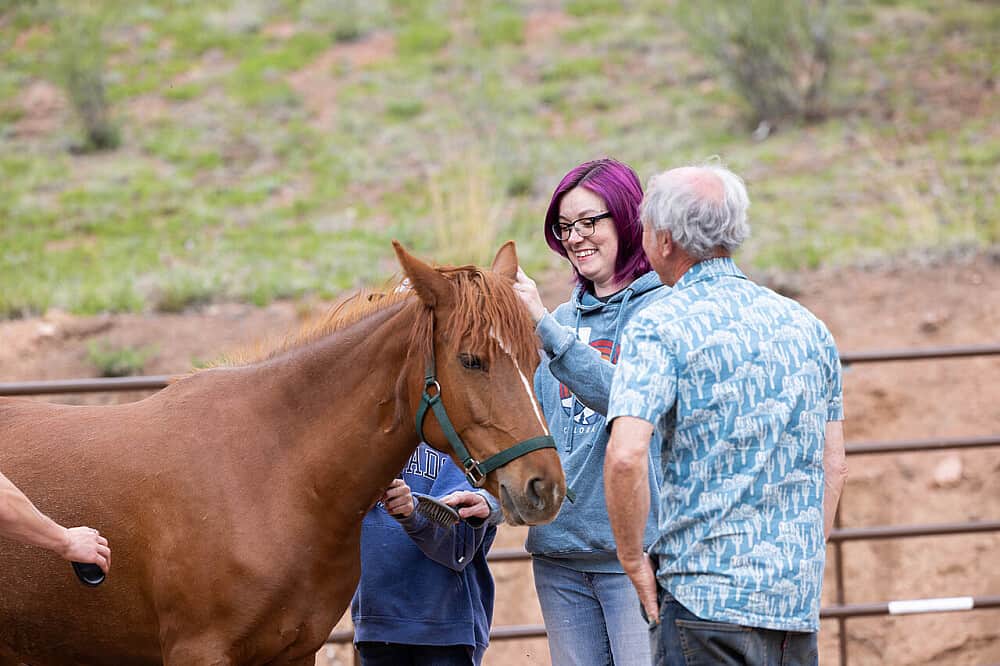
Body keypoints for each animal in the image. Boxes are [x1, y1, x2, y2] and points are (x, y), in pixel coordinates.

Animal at [0, 241, 565, 666]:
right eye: (471, 360)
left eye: (535, 358)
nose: (545, 486)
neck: (275, 475)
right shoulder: (198, 653)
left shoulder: (294, 652)